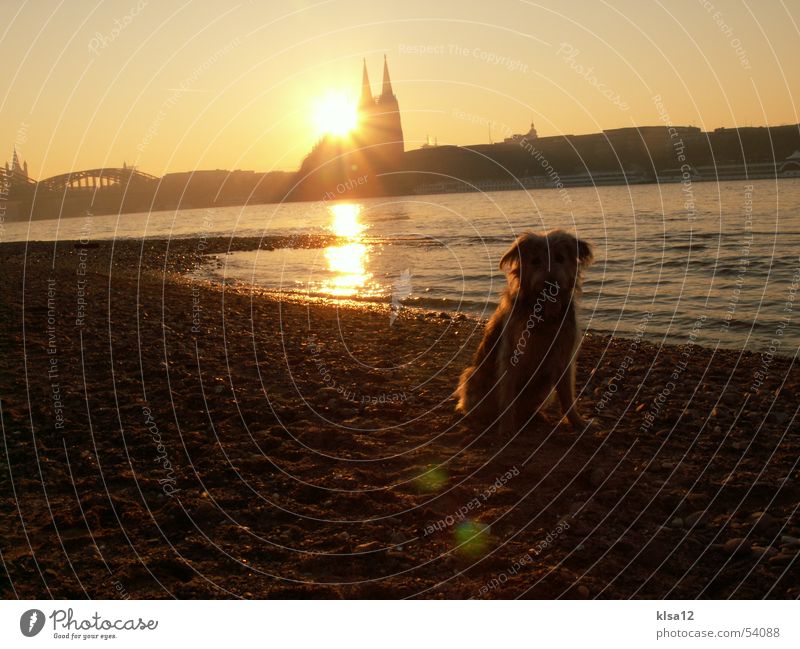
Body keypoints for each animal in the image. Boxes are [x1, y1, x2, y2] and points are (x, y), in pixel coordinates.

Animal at [456, 230, 592, 432]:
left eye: (560, 258)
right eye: (535, 260)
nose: (550, 284)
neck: (543, 314)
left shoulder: (563, 356)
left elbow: (567, 396)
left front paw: (577, 422)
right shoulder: (511, 355)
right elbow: (507, 394)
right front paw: (506, 428)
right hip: (472, 376)